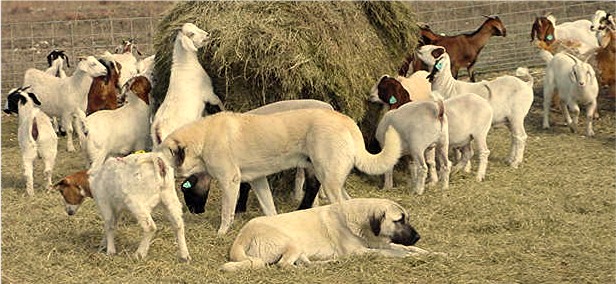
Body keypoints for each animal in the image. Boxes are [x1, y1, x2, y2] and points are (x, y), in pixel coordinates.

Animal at [156, 107, 402, 234]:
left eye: (161, 157)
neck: (203, 139)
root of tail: (345, 119)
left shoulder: (230, 182)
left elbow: (227, 213)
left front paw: (221, 233)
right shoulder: (258, 181)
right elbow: (269, 208)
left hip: (328, 180)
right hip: (331, 179)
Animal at [223, 197, 434, 270]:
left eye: (407, 218)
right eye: (399, 220)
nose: (418, 237)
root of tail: (242, 236)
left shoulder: (380, 242)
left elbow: (405, 248)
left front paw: (432, 253)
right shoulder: (360, 251)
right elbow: (391, 251)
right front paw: (406, 255)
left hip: (299, 248)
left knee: (304, 262)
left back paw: (330, 263)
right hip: (293, 242)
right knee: (285, 265)